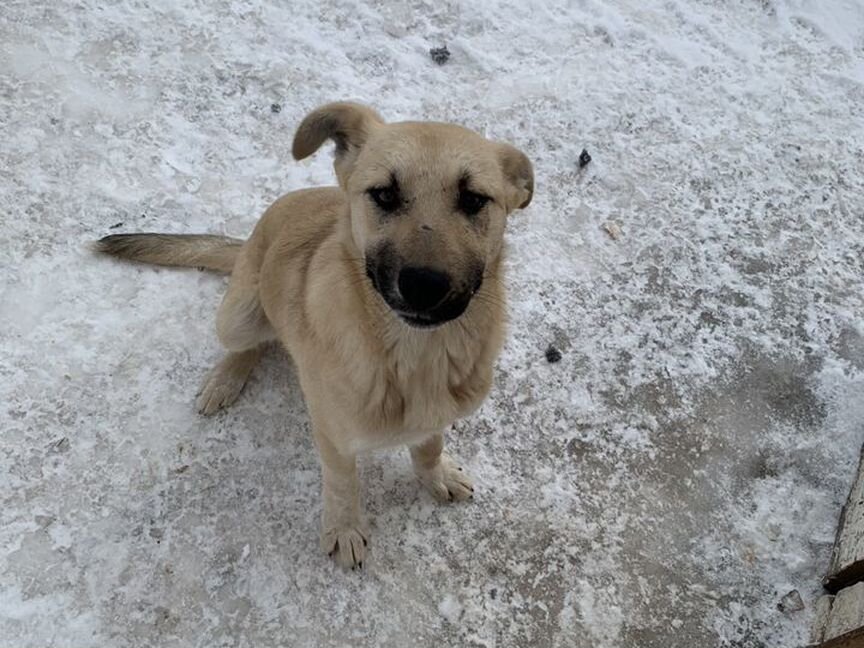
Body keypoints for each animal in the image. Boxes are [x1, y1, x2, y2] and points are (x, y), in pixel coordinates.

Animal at [99, 101, 532, 568]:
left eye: (473, 200)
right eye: (384, 194)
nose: (424, 285)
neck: (415, 357)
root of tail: (248, 241)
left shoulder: (435, 418)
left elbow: (428, 446)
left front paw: (437, 475)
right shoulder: (333, 433)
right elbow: (343, 483)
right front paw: (344, 529)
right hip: (239, 314)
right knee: (250, 344)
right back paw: (226, 379)